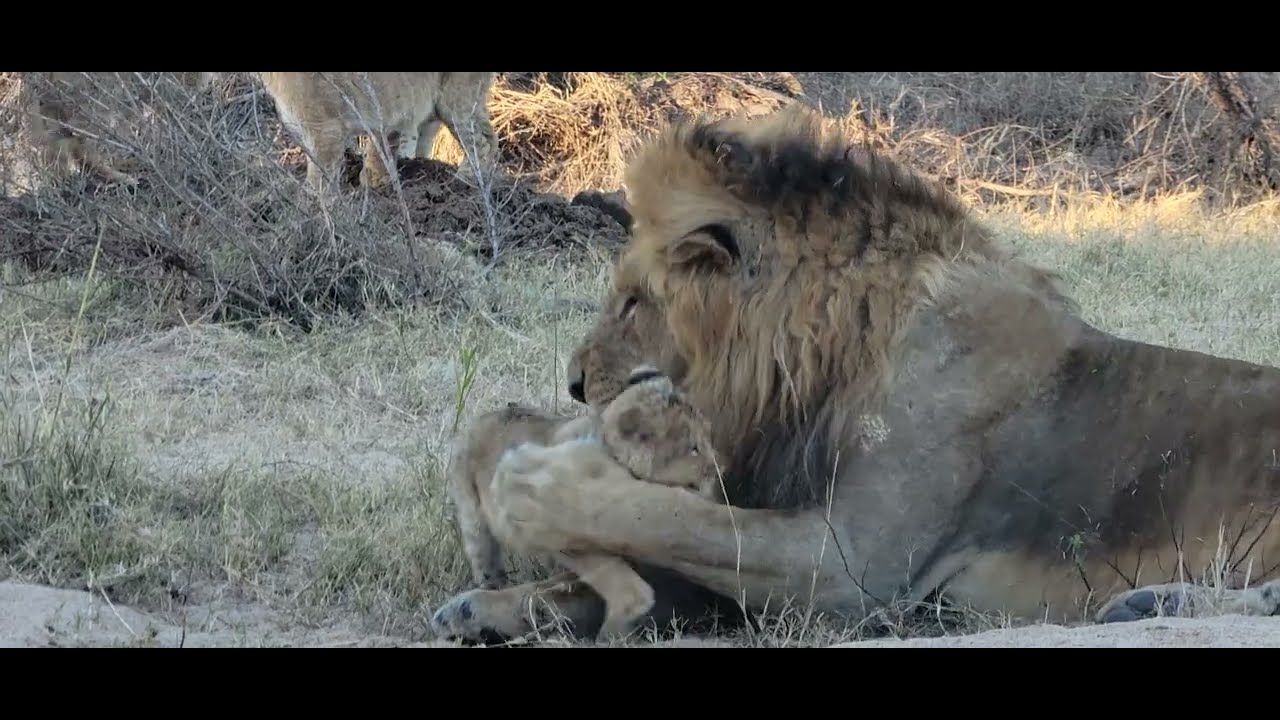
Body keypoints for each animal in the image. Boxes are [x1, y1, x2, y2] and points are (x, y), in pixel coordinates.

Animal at [255, 72, 499, 193]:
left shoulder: (325, 130)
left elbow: (319, 177)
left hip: (456, 100)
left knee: (484, 140)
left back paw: (466, 180)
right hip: (435, 103)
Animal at [439, 364, 726, 641]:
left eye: (709, 435)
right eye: (694, 448)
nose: (719, 470)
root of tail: (489, 415)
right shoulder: (557, 524)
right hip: (471, 512)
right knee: (482, 550)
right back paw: (490, 584)